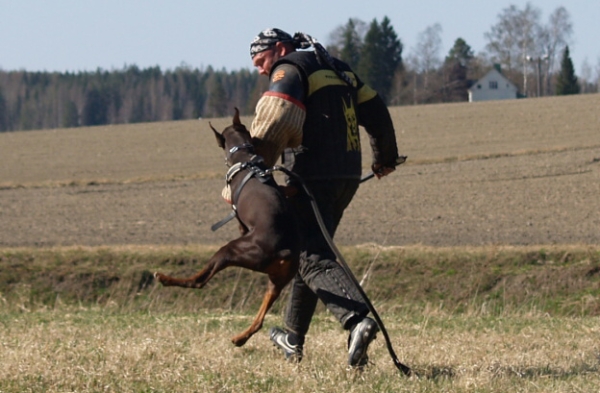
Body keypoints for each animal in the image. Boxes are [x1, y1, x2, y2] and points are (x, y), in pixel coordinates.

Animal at [152, 108, 298, 346]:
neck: (246, 159)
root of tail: (283, 250)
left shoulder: (238, 218)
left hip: (231, 251)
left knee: (199, 280)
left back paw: (165, 278)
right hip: (278, 280)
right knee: (261, 317)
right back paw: (241, 337)